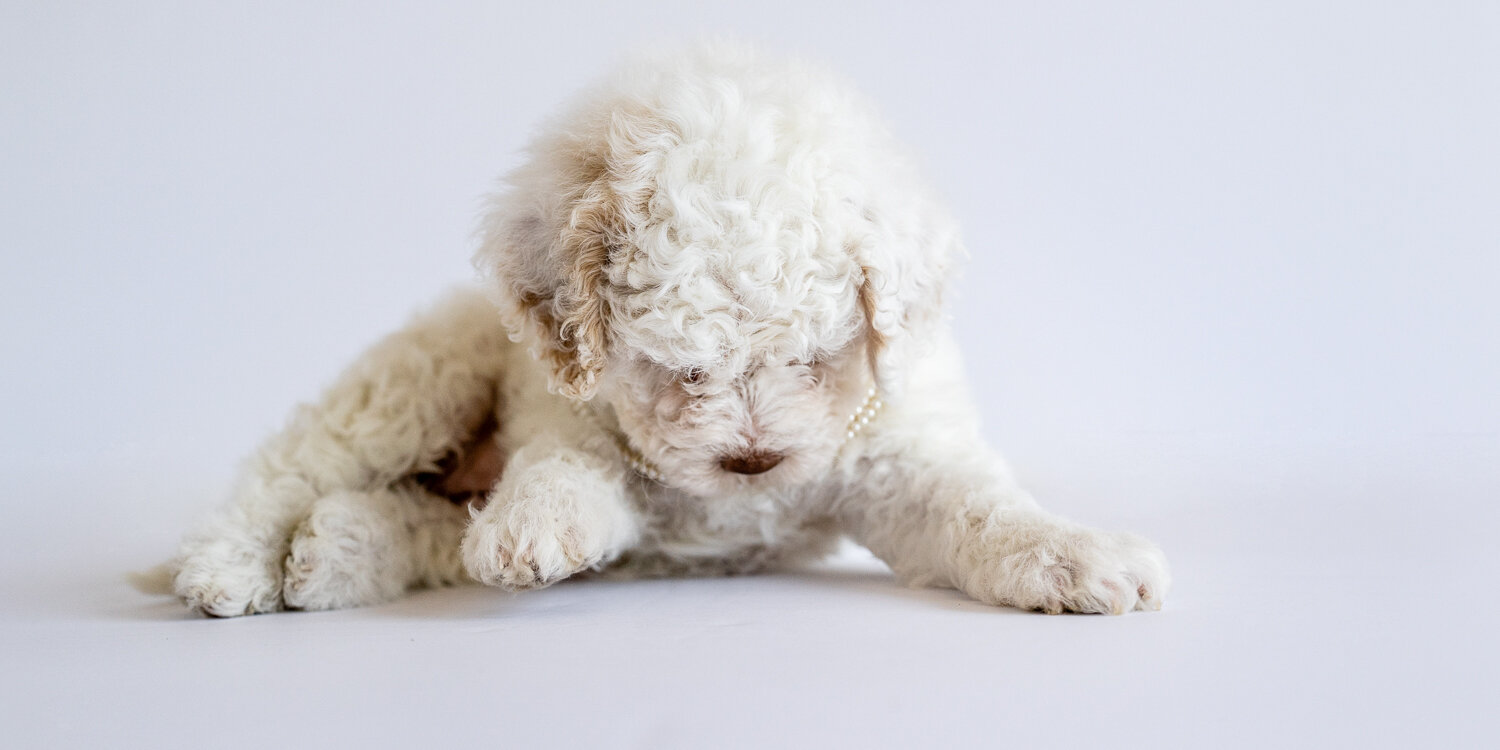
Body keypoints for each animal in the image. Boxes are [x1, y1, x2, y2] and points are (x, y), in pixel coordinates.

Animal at [167, 42, 1170, 615]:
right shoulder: (572, 421)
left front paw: (1083, 561)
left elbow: (978, 510)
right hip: (427, 373)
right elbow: (568, 471)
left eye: (817, 358)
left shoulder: (897, 463)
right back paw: (231, 568)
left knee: (407, 522)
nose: (753, 462)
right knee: (294, 467)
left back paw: (331, 553)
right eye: (676, 368)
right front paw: (531, 527)